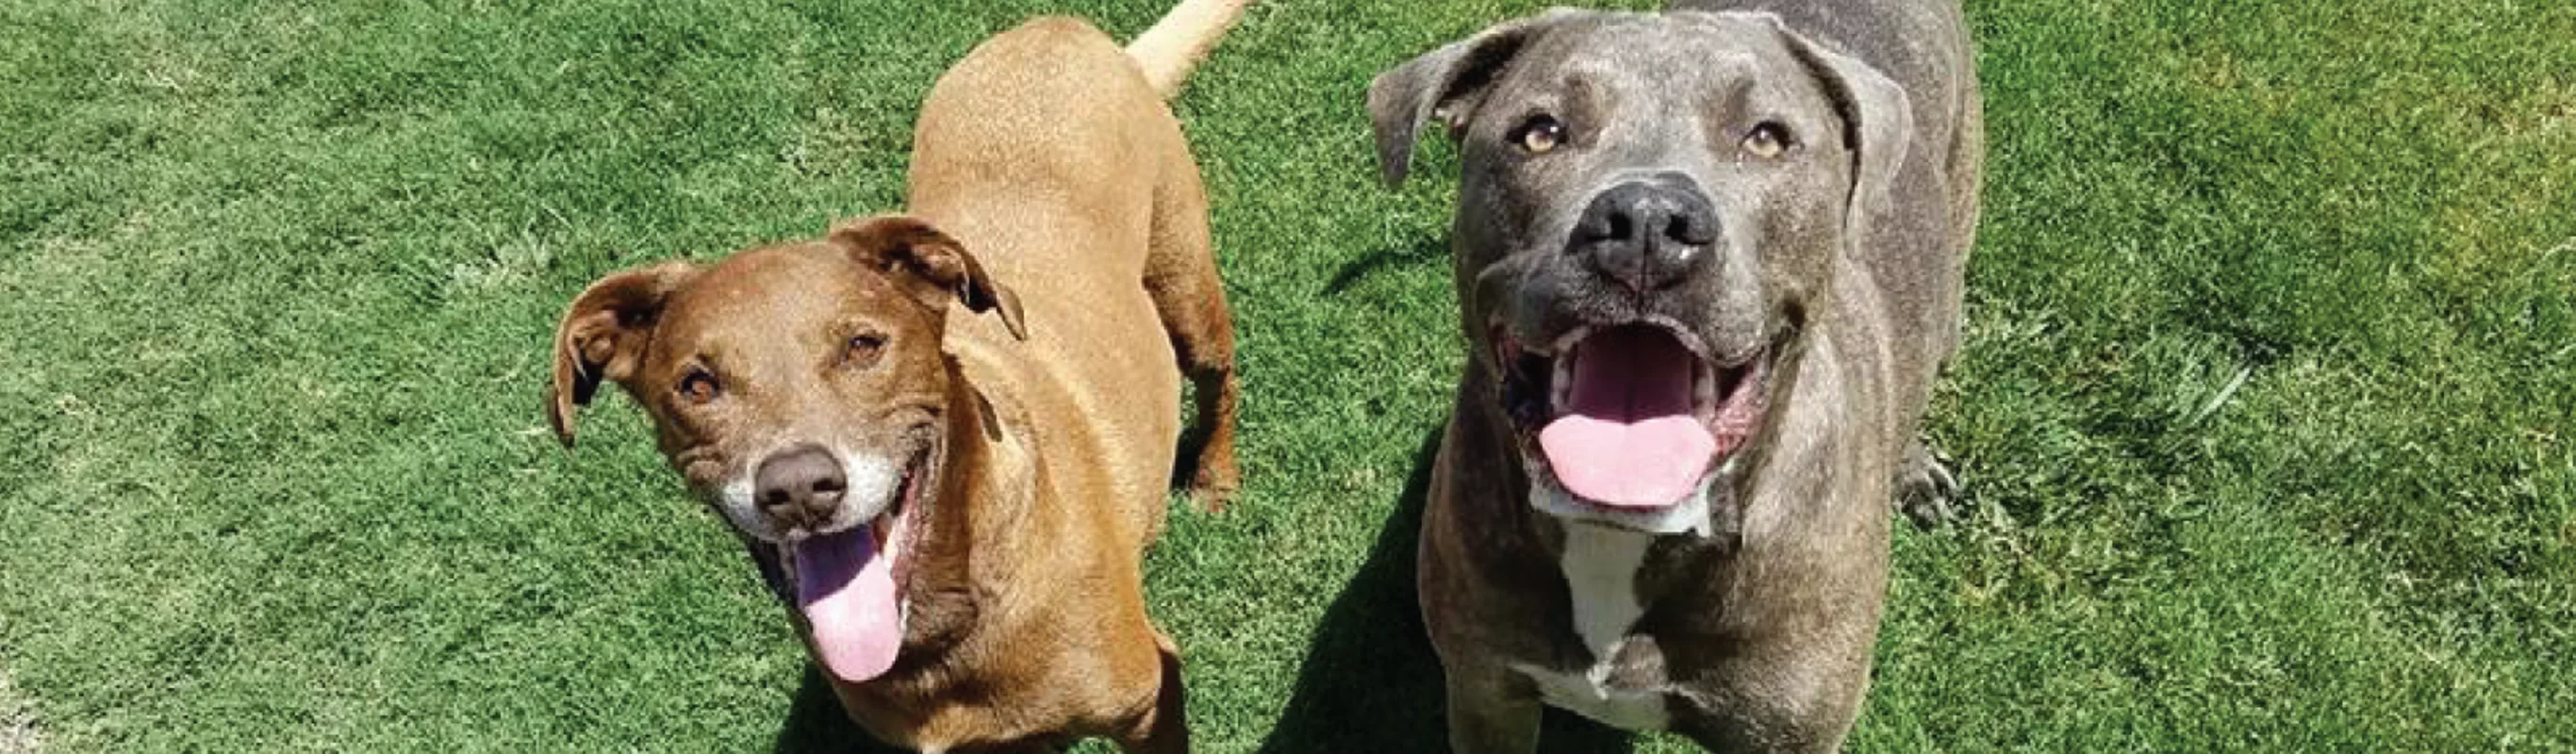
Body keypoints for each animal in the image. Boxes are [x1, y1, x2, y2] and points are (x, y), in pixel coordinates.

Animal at [543, 3, 1247, 746]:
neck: (941, 634)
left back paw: (1215, 480)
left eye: (863, 345)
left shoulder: (1149, 703)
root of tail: (1058, 30)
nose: (799, 489)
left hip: (1185, 289)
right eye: (697, 385)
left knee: (1218, 380)